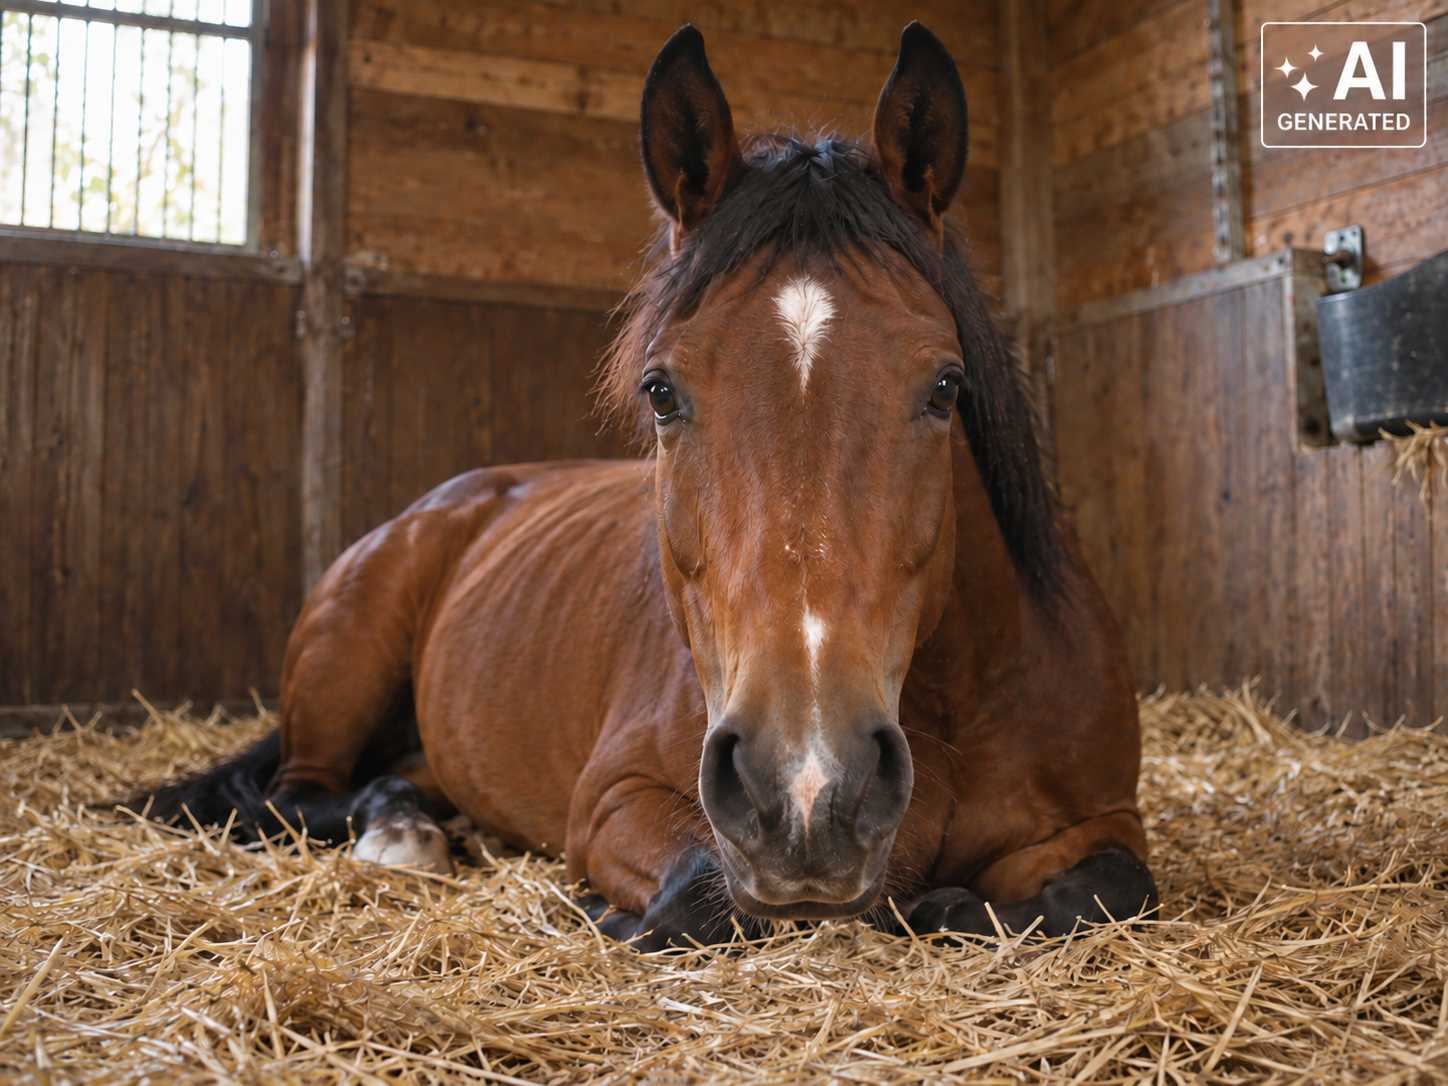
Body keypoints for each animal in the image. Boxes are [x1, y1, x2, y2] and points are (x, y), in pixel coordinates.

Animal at [139, 22, 1156, 950]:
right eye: (660, 391)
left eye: (945, 385)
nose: (807, 792)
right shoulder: (614, 801)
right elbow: (702, 899)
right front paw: (606, 912)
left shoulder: (1105, 821)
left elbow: (1108, 890)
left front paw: (951, 906)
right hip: (347, 668)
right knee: (298, 795)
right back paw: (399, 835)